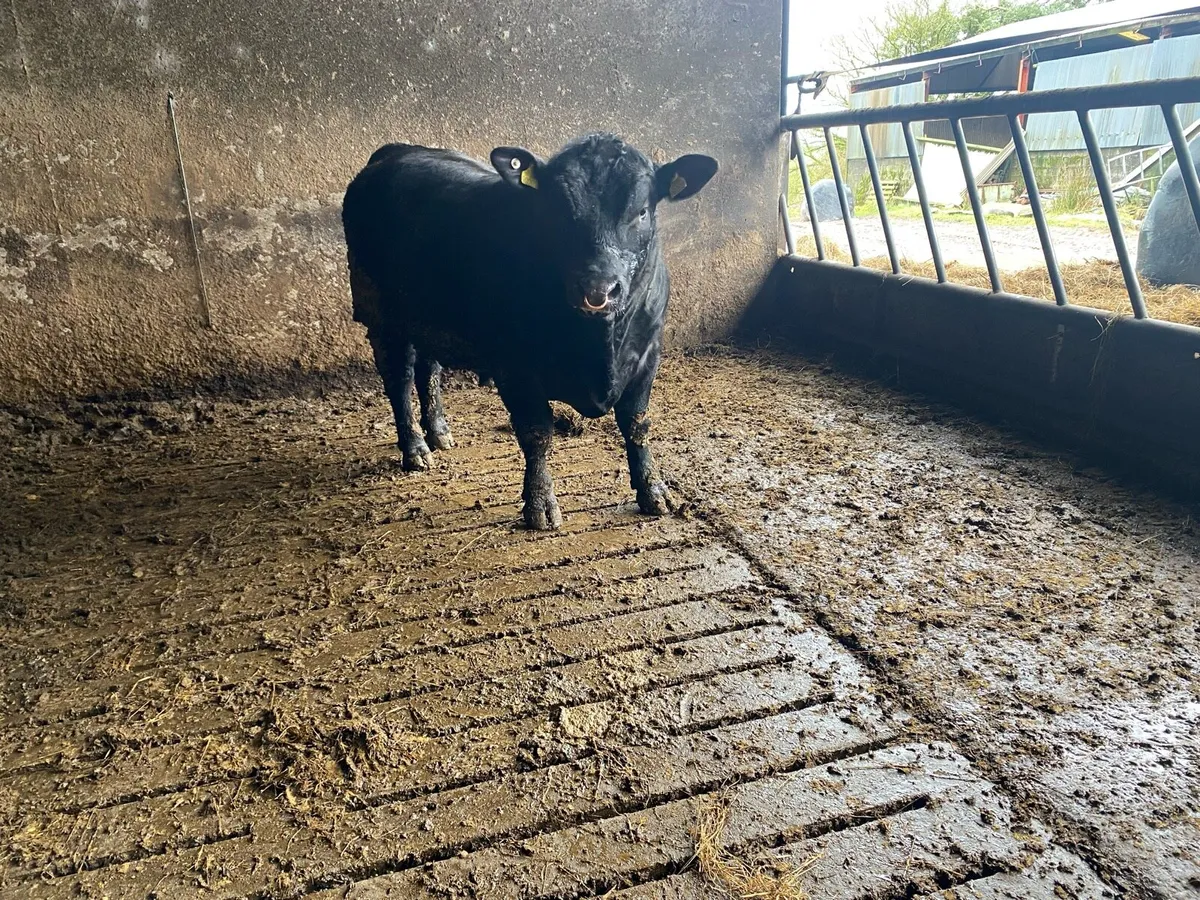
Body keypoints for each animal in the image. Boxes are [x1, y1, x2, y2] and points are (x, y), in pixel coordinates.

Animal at [341, 133, 717, 530]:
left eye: (642, 211)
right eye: (557, 210)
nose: (598, 288)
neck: (598, 349)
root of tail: (398, 150)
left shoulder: (648, 352)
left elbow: (636, 423)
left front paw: (653, 491)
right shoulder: (514, 365)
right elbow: (536, 433)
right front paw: (540, 504)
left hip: (428, 316)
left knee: (429, 371)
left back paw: (440, 432)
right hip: (380, 314)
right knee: (398, 380)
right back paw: (414, 447)